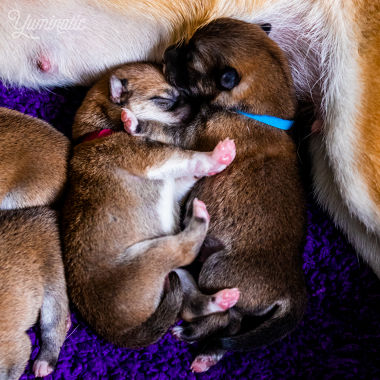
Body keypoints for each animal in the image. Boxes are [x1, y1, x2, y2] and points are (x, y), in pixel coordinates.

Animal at [61, 63, 239, 350]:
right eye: (164, 100)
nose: (200, 108)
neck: (100, 129)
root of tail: (119, 334)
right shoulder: (155, 158)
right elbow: (188, 157)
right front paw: (217, 156)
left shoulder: (172, 180)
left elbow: (187, 172)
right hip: (153, 255)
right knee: (185, 251)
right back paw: (199, 216)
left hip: (178, 275)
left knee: (189, 308)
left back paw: (222, 299)